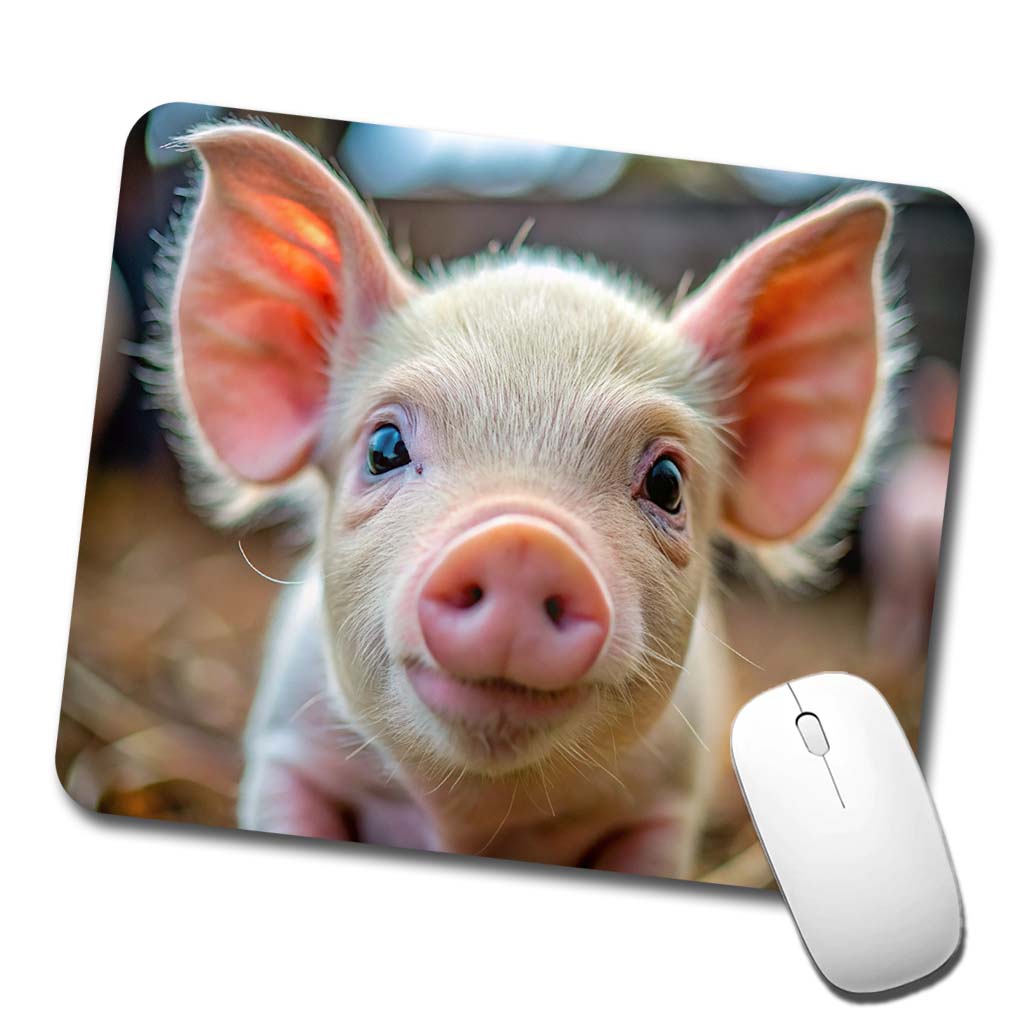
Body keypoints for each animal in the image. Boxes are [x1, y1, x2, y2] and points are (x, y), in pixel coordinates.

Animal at [155, 122, 897, 879]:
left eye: (667, 482)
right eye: (384, 447)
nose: (521, 543)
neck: (473, 819)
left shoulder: (662, 810)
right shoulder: (286, 748)